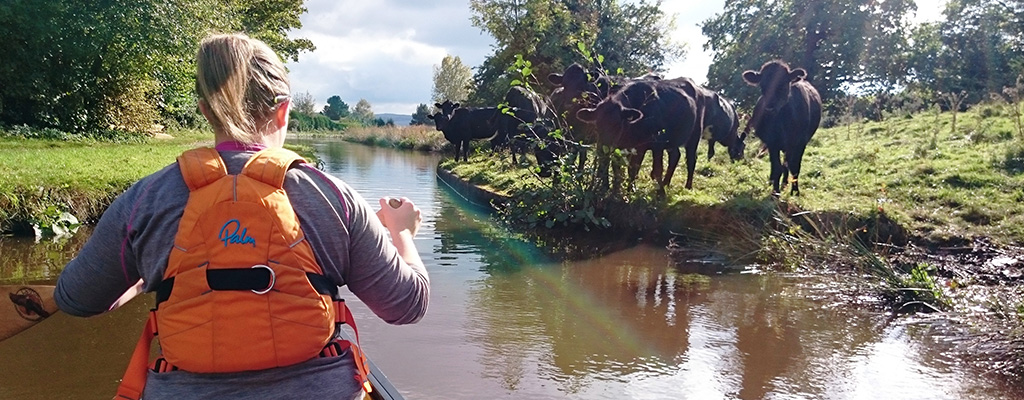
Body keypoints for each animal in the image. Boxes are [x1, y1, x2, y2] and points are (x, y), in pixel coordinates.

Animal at [741, 59, 819, 195]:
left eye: (783, 84)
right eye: (763, 85)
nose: (769, 107)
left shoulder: (800, 142)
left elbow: (795, 166)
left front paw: (795, 191)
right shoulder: (773, 142)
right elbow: (777, 166)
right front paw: (775, 192)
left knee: (787, 163)